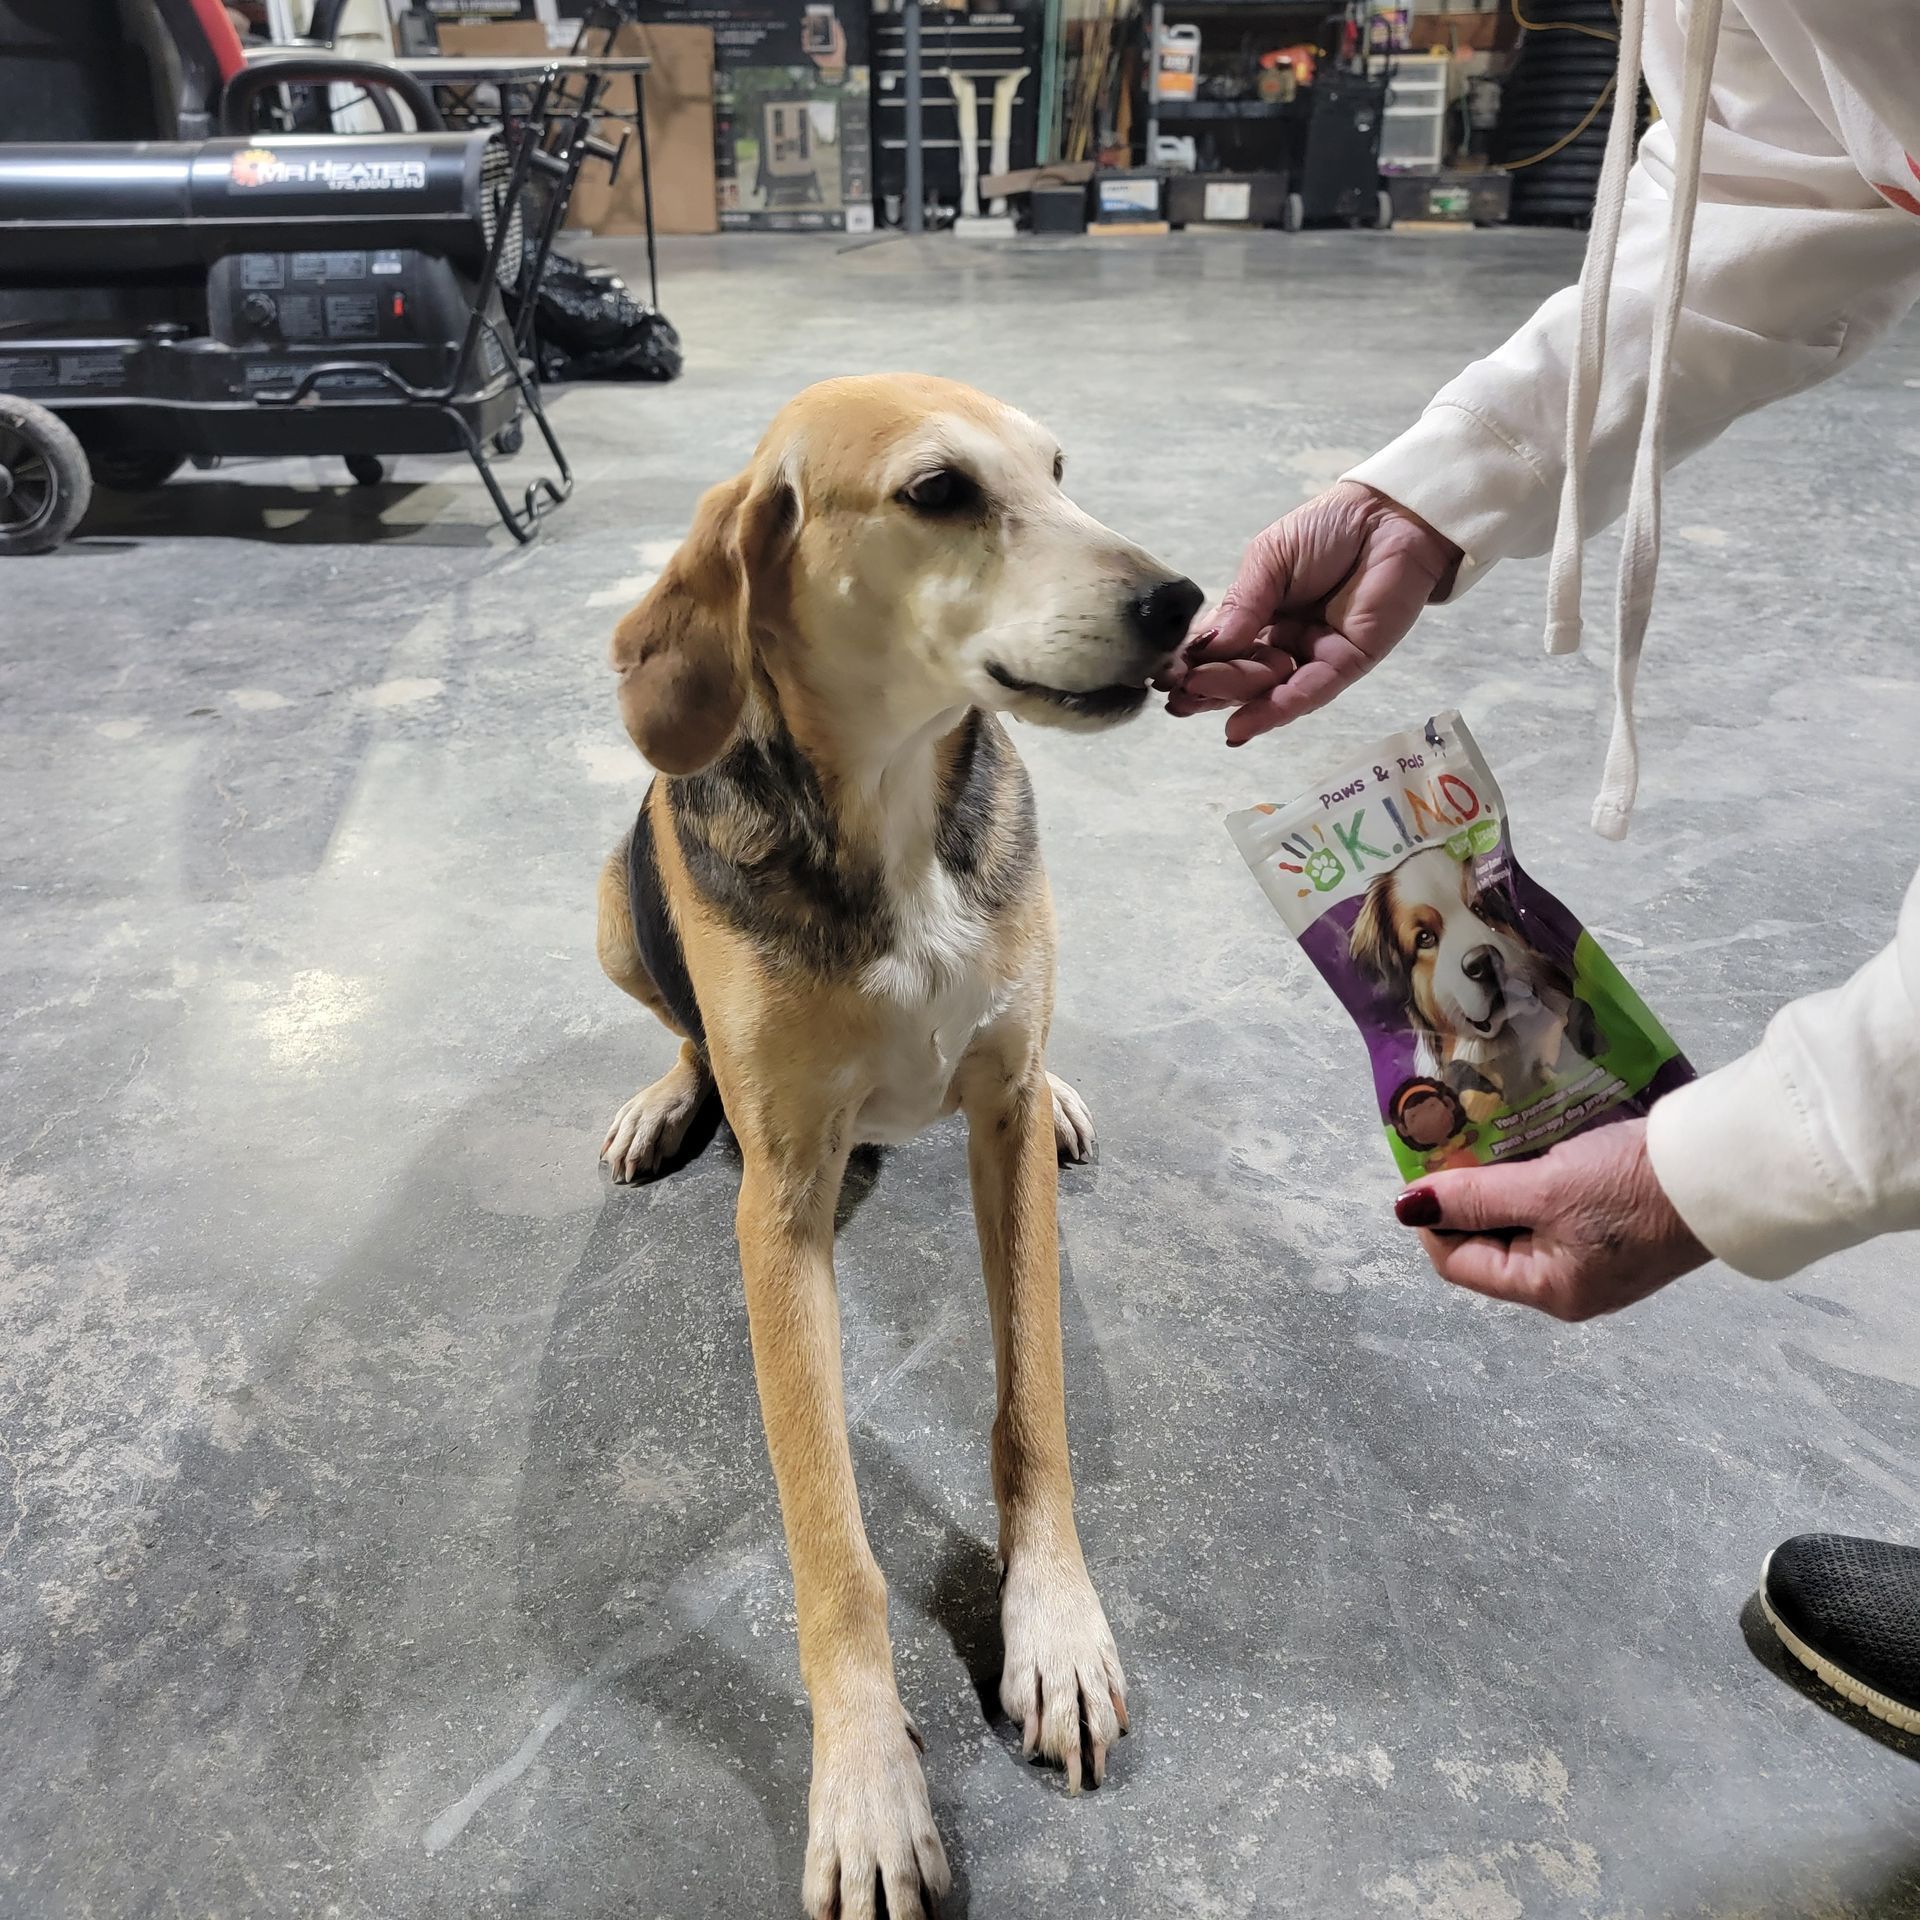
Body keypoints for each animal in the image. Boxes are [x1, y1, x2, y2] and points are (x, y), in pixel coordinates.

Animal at [599, 374, 1198, 1920]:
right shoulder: (780, 1213)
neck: (892, 807)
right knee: (675, 1023)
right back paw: (664, 1097)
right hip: (615, 901)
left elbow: (1032, 1411)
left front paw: (1054, 1628)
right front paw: (866, 1785)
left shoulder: (997, 1127)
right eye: (938, 492)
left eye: (1060, 469)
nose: (1182, 602)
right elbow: (833, 1546)